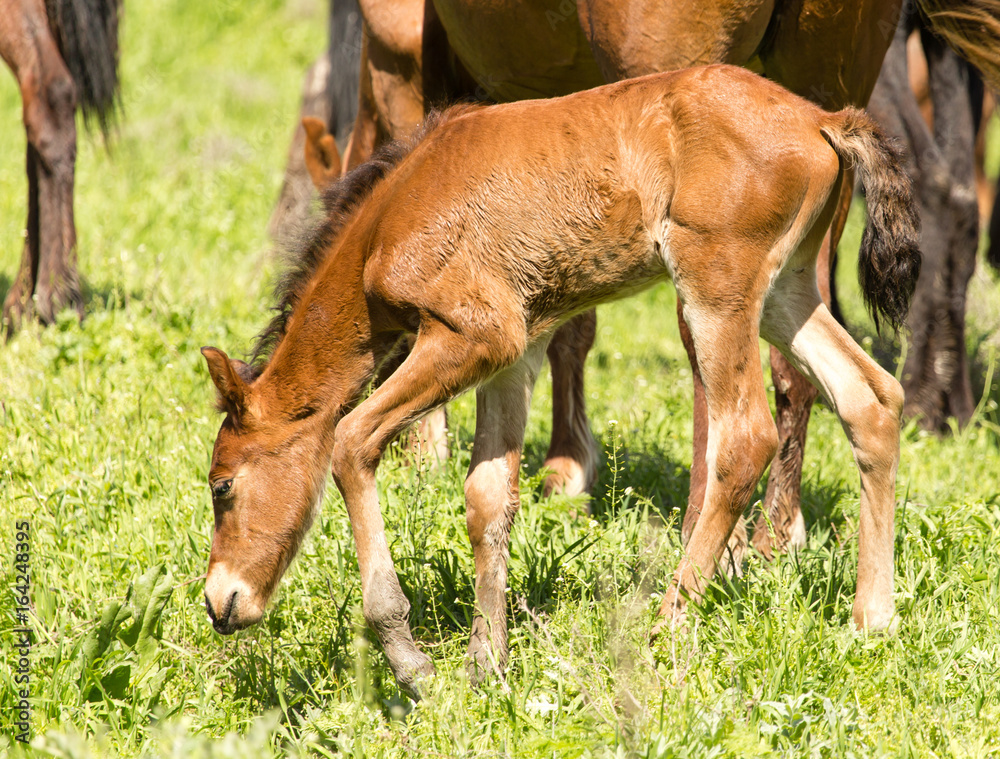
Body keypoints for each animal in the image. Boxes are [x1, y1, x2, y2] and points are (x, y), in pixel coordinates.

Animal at [304, 0, 1000, 568]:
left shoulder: (405, 61)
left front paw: (484, 459)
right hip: (828, 88)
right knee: (821, 346)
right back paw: (781, 531)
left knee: (716, 375)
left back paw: (715, 540)